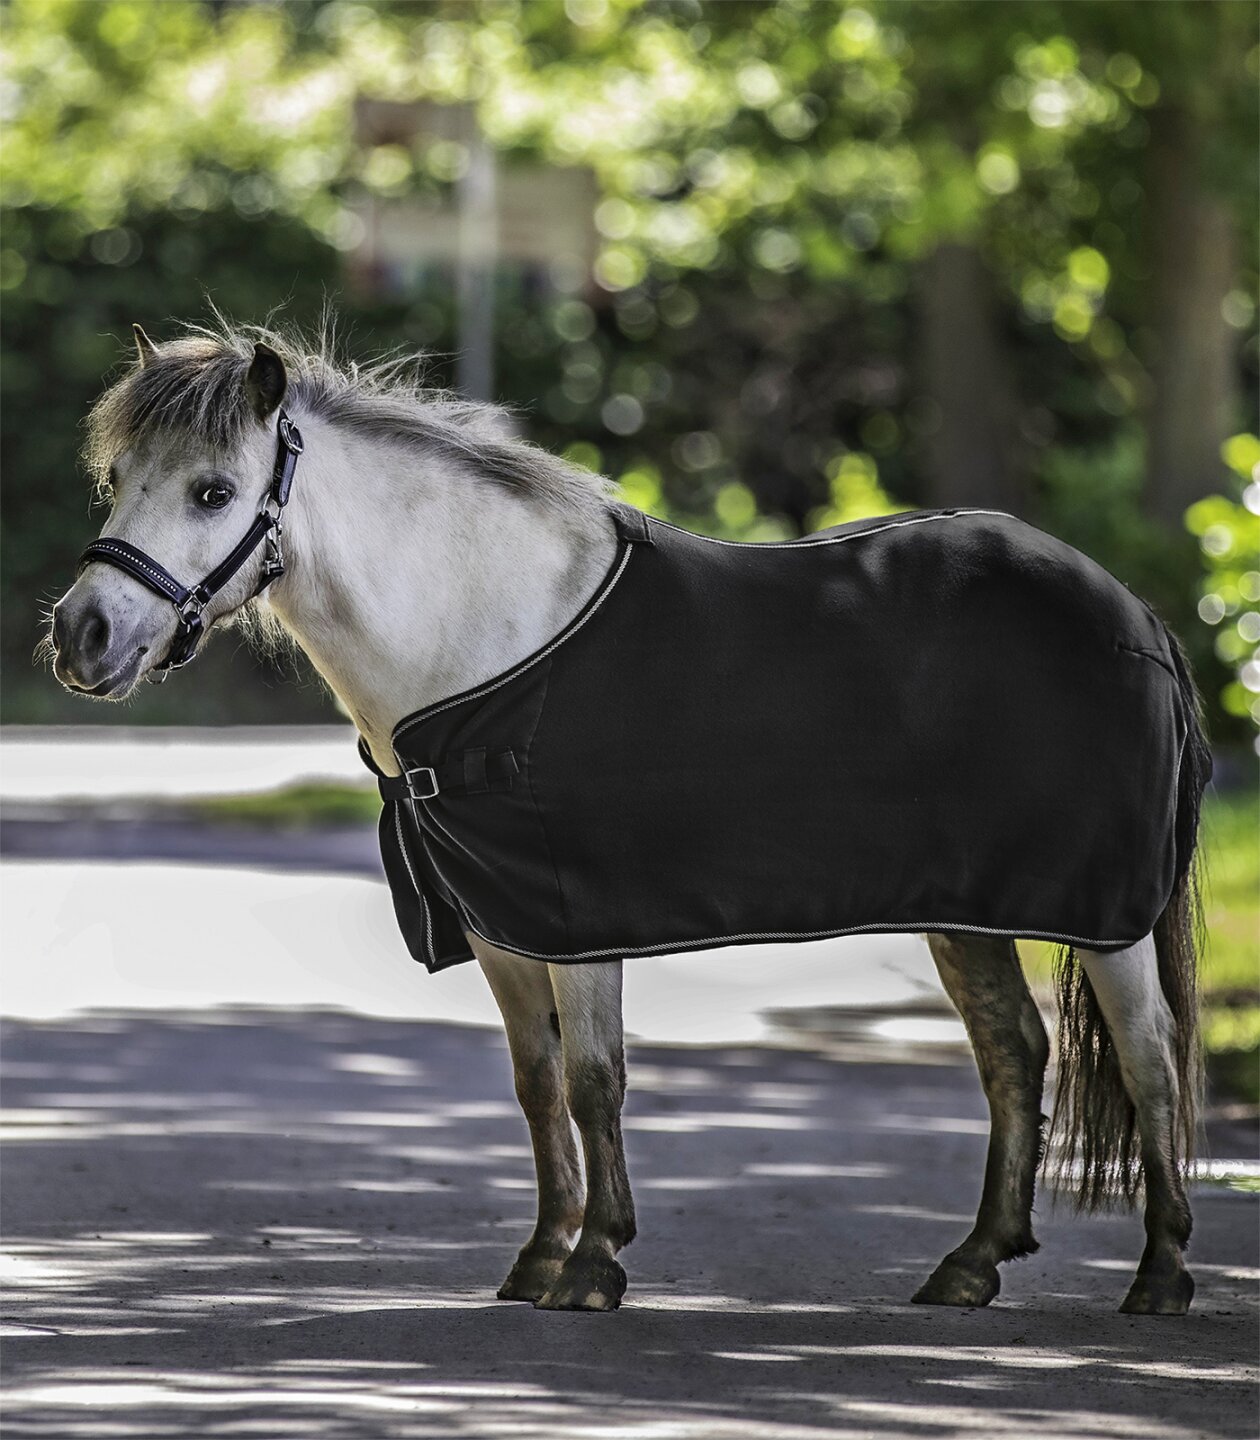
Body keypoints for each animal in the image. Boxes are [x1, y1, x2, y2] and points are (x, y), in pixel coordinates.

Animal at [49, 324, 1209, 1319]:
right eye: (117, 481)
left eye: (213, 490)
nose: (81, 635)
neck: (483, 637)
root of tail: (1137, 615)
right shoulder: (501, 927)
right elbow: (537, 1084)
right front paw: (541, 1255)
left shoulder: (576, 918)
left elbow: (595, 1081)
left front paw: (595, 1262)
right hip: (968, 911)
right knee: (1014, 1052)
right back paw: (972, 1265)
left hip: (1105, 913)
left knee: (1152, 1056)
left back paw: (1160, 1275)